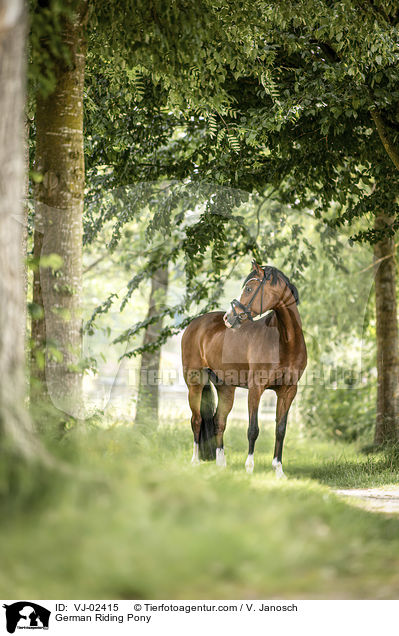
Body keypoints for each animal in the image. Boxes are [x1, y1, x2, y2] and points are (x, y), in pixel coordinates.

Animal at [183, 260, 308, 476]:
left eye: (249, 289)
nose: (228, 318)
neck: (285, 342)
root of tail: (194, 324)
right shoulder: (255, 389)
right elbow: (253, 429)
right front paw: (249, 468)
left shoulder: (288, 391)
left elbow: (280, 429)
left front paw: (278, 469)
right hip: (195, 384)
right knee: (196, 420)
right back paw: (195, 461)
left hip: (226, 388)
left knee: (218, 422)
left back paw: (221, 464)